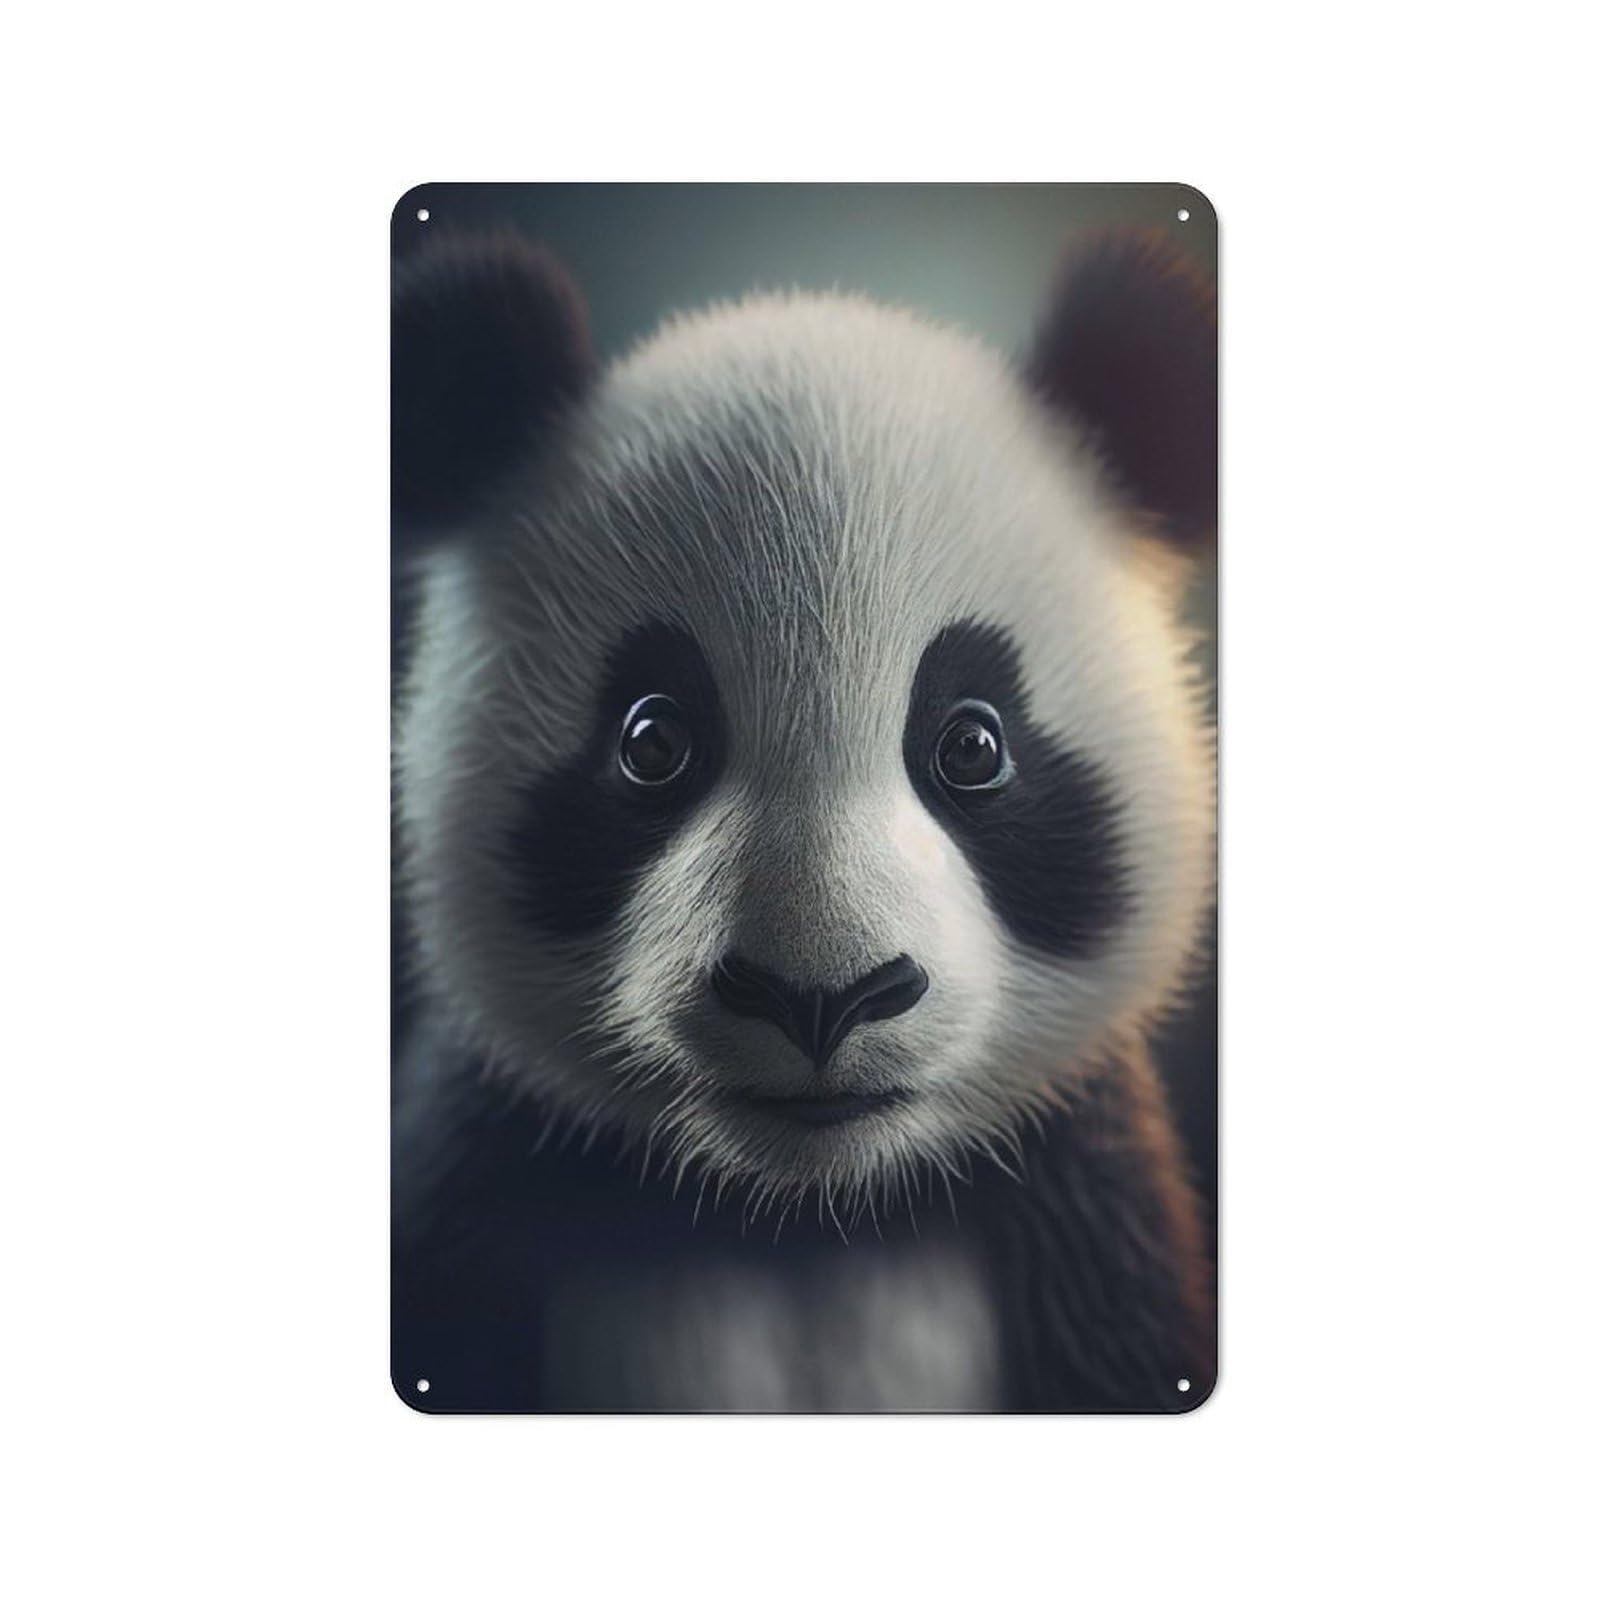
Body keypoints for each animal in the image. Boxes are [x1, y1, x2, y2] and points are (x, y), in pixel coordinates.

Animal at [391, 227, 1217, 1412]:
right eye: (654, 742)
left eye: (972, 746)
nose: (821, 997)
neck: (800, 1216)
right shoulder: (479, 1187)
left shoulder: (1088, 1208)